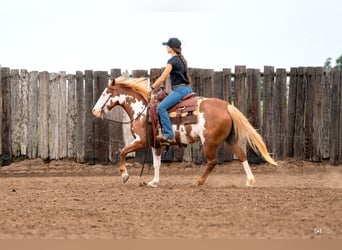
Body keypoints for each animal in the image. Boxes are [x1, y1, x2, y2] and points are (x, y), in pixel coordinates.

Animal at [92, 74, 276, 188]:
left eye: (105, 93)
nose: (94, 111)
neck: (142, 111)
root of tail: (226, 106)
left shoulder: (142, 141)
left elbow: (123, 151)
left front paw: (125, 175)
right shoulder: (155, 145)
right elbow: (157, 164)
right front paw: (153, 182)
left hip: (209, 142)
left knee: (212, 162)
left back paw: (198, 182)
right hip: (230, 139)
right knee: (242, 156)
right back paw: (250, 181)